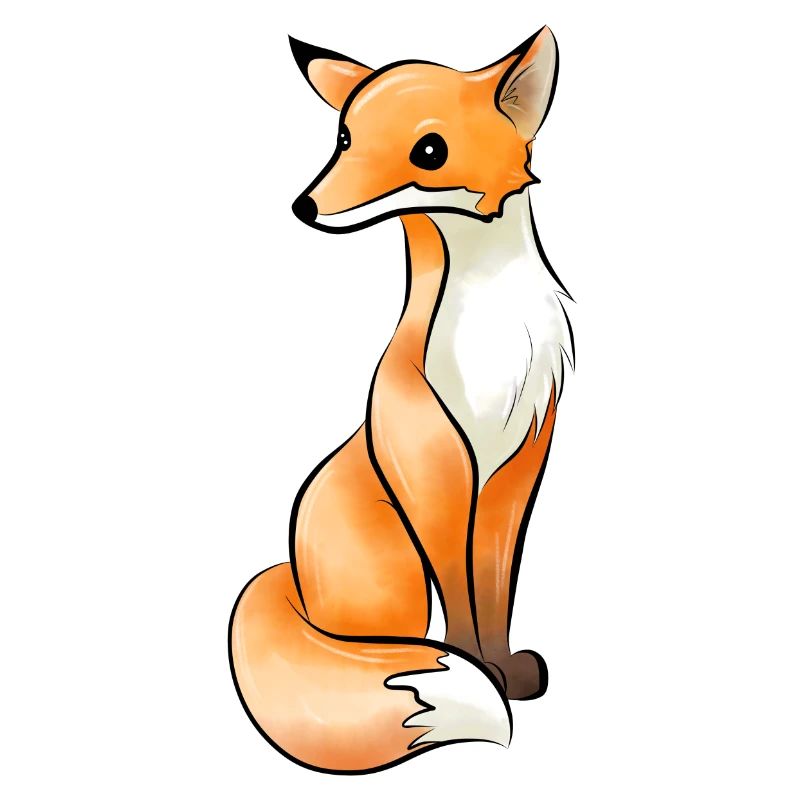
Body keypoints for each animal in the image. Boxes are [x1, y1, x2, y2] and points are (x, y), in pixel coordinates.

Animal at [229, 26, 574, 774]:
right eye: (345, 137)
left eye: (429, 152)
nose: (303, 206)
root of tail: (290, 579)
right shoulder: (435, 472)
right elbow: (464, 598)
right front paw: (476, 669)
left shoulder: (514, 469)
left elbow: (495, 586)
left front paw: (506, 670)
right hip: (396, 571)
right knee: (377, 641)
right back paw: (416, 656)